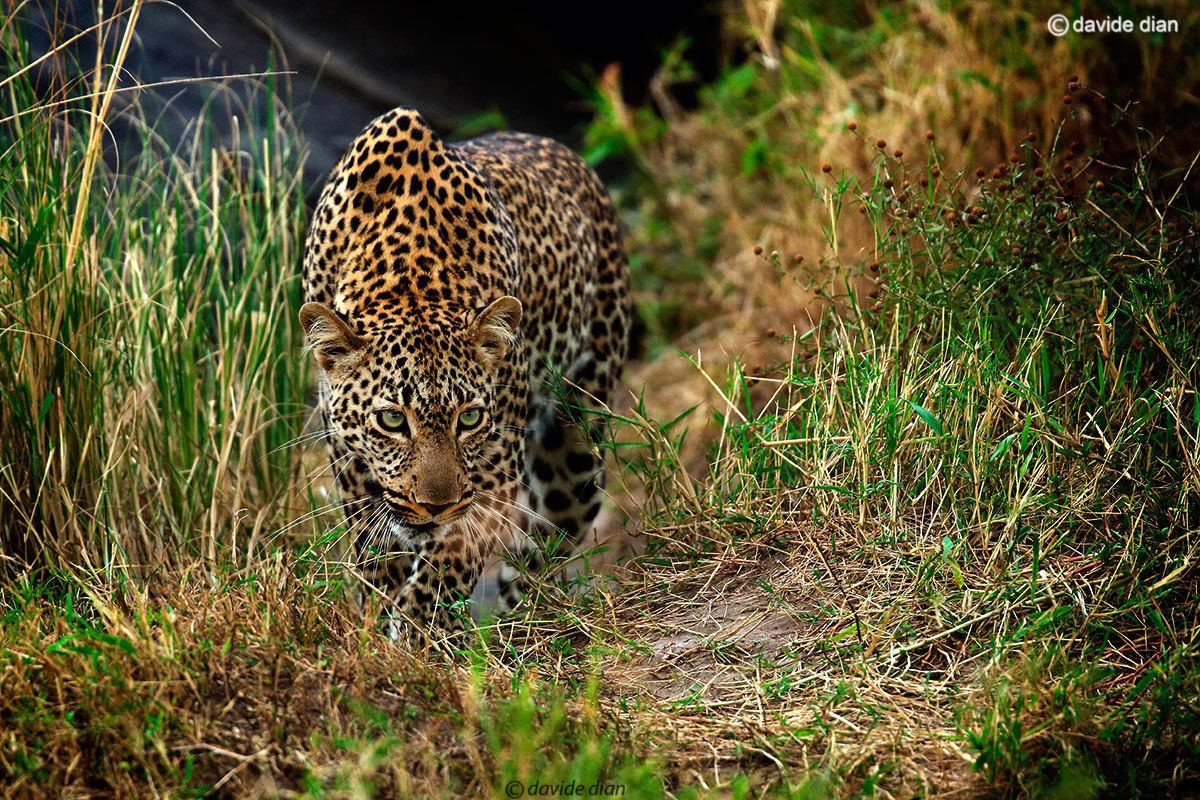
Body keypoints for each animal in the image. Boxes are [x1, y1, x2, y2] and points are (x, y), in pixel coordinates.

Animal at [299, 106, 630, 639]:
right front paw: (379, 623)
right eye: (392, 420)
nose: (435, 506)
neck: (410, 282)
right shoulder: (350, 463)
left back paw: (513, 627)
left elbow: (449, 562)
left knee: (540, 552)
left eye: (469, 419)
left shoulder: (494, 469)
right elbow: (378, 555)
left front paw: (416, 634)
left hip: (576, 454)